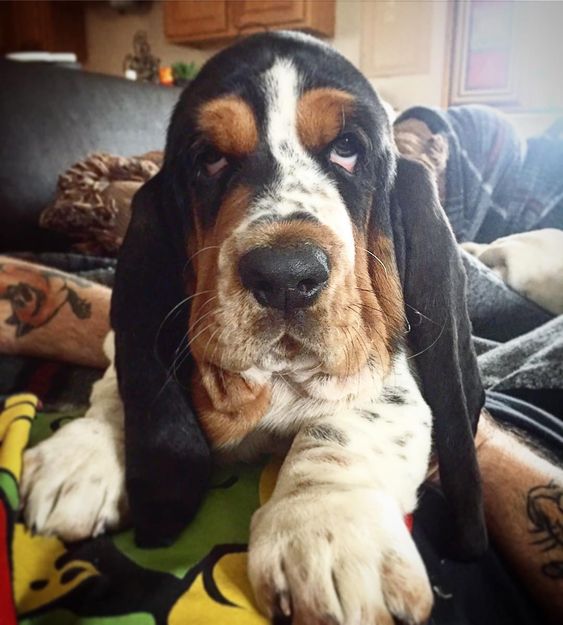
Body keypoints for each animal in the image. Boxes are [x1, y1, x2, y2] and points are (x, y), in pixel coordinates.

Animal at [22, 32, 487, 624]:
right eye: (209, 159)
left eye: (347, 148)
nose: (286, 275)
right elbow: (119, 381)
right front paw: (81, 456)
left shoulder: (390, 375)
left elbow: (347, 422)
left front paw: (327, 527)